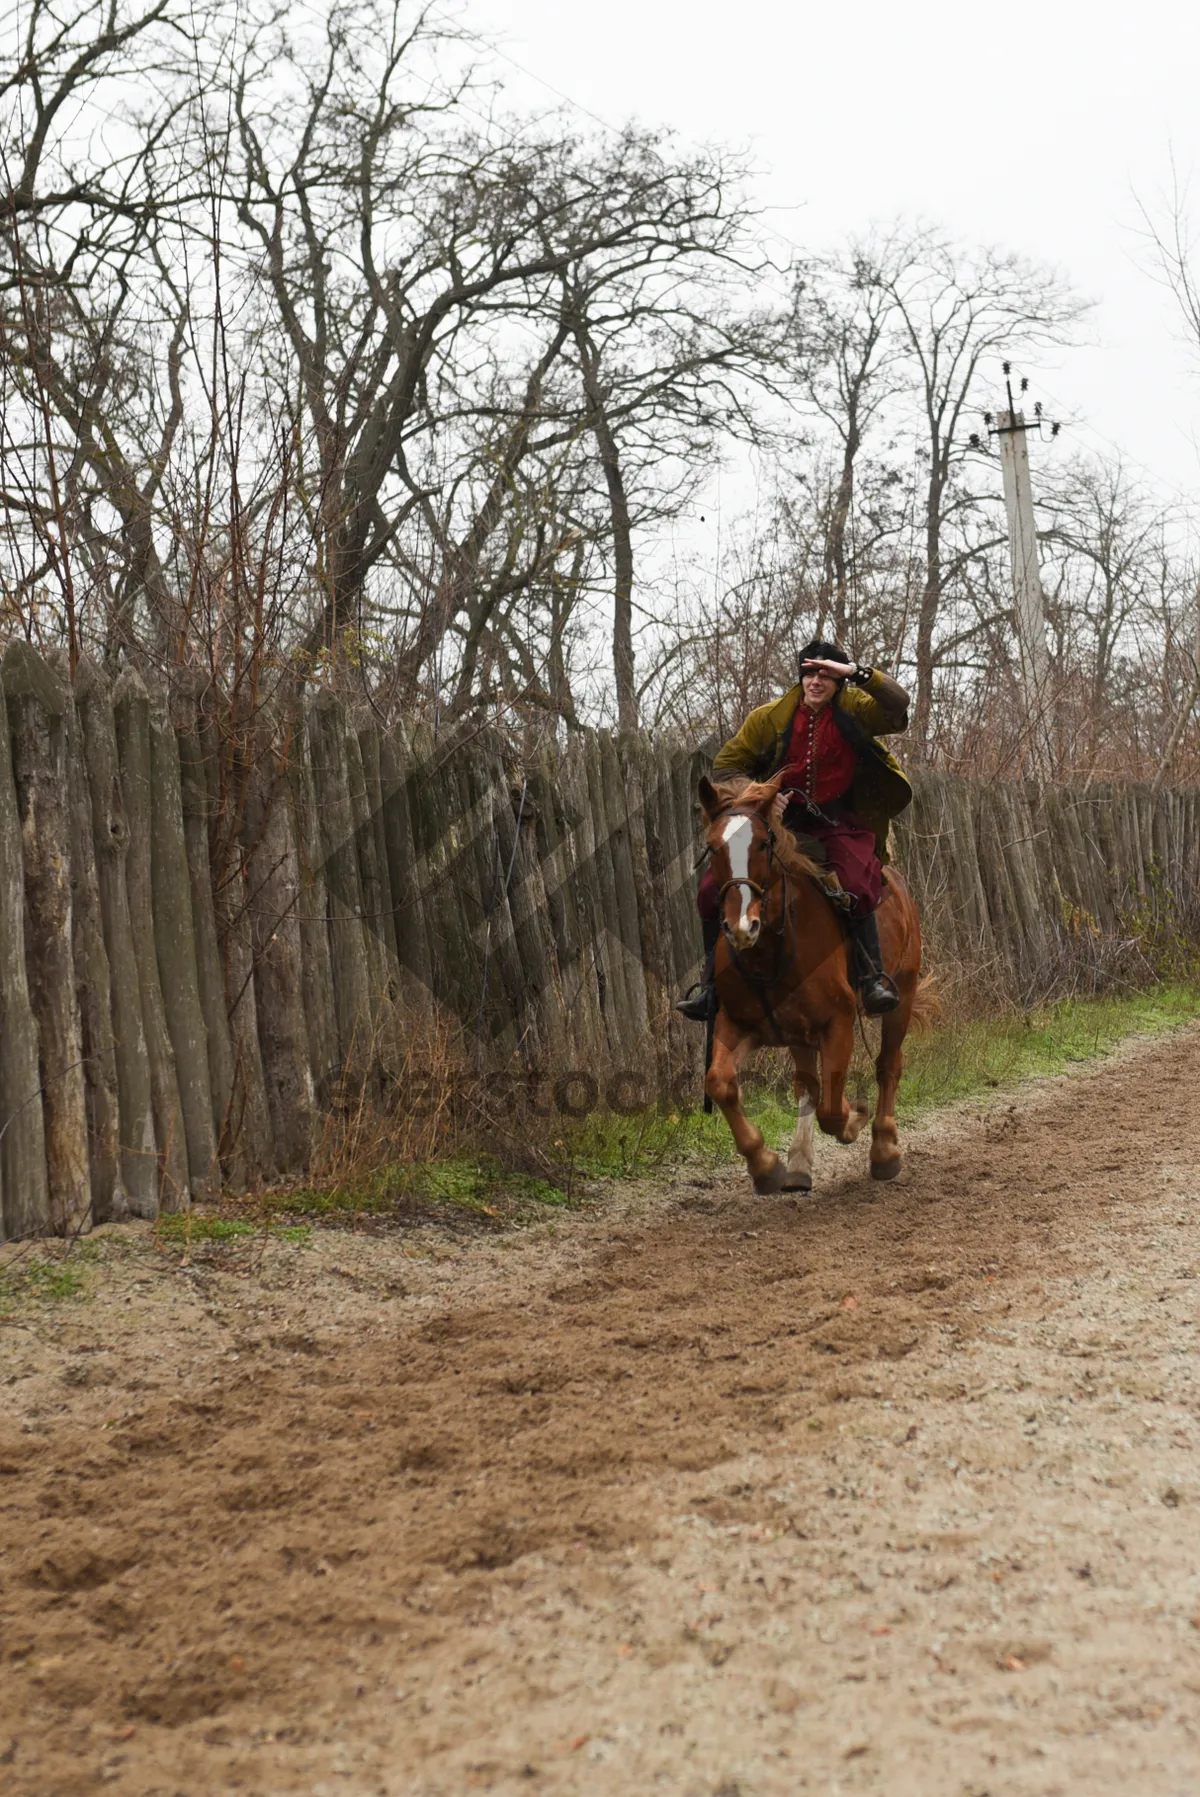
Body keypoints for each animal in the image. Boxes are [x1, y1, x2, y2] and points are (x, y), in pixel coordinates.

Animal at [697, 772, 926, 1193]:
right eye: (712, 847)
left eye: (764, 843)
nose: (742, 927)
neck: (768, 951)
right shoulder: (738, 1024)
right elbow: (720, 1082)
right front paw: (765, 1165)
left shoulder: (837, 1024)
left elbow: (833, 1111)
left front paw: (857, 1115)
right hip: (797, 1033)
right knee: (807, 1084)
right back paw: (800, 1164)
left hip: (903, 993)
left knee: (888, 1065)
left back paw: (884, 1150)